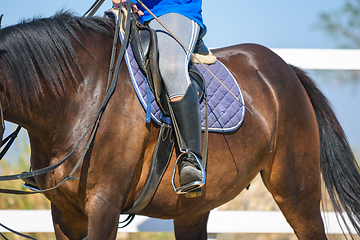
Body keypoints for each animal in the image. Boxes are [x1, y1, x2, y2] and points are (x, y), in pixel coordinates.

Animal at [0, 11, 360, 240]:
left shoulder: (104, 204)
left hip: (296, 191)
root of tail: (286, 69)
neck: (82, 91)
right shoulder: (64, 213)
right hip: (193, 210)